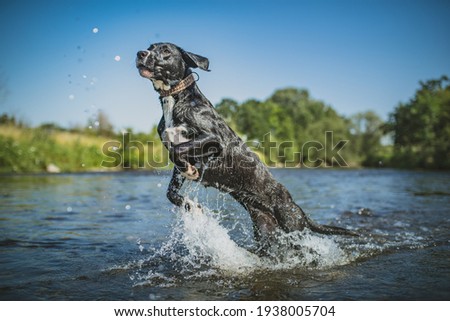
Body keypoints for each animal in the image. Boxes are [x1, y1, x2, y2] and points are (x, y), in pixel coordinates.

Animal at [135, 42, 356, 252]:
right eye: (150, 46)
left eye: (166, 50)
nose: (140, 53)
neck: (174, 100)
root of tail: (297, 208)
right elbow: (171, 190)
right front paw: (192, 206)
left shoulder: (214, 140)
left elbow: (176, 152)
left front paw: (191, 172)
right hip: (266, 231)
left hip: (293, 227)